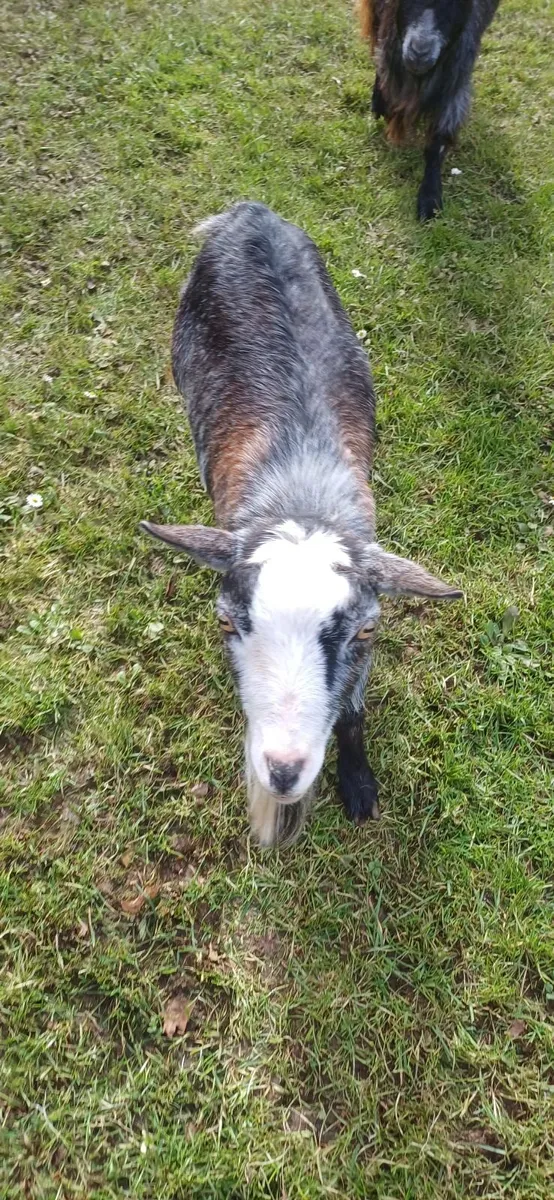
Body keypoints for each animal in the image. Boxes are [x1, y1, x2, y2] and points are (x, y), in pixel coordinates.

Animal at [140, 202, 462, 847]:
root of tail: (249, 211)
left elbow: (354, 712)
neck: (301, 487)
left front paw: (358, 783)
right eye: (225, 623)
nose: (284, 772)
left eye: (365, 632)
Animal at [359, 0, 500, 220]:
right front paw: (380, 103)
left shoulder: (456, 79)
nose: (419, 53)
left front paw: (430, 199)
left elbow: (438, 141)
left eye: (459, 4)